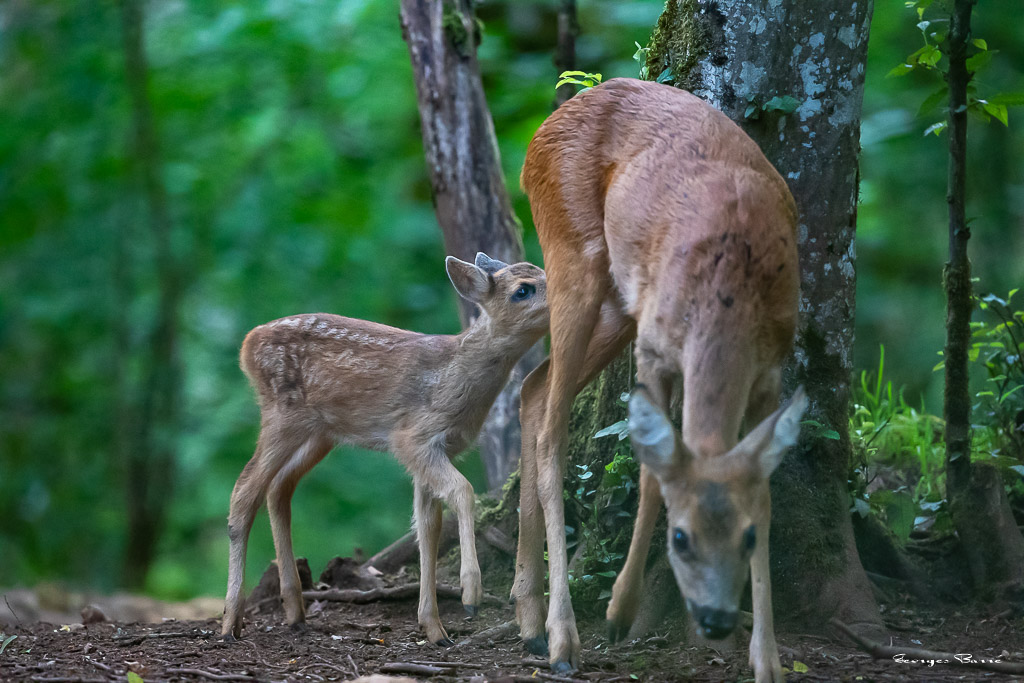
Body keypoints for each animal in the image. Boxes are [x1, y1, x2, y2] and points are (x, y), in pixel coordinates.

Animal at [221, 252, 548, 647]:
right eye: (523, 290)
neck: (454, 377)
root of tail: (246, 346)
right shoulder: (412, 438)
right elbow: (463, 491)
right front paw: (470, 596)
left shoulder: (437, 450)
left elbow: (427, 526)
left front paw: (434, 628)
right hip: (281, 414)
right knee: (244, 491)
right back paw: (230, 621)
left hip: (319, 432)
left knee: (278, 489)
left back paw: (295, 612)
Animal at [509, 78, 807, 682]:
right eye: (680, 537)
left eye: (745, 537)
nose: (716, 619)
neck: (732, 289)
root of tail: (538, 136)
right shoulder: (654, 351)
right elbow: (650, 473)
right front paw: (620, 610)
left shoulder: (771, 370)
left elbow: (764, 490)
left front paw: (767, 660)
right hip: (574, 257)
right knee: (552, 427)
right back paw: (562, 637)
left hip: (620, 305)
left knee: (533, 390)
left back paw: (528, 620)